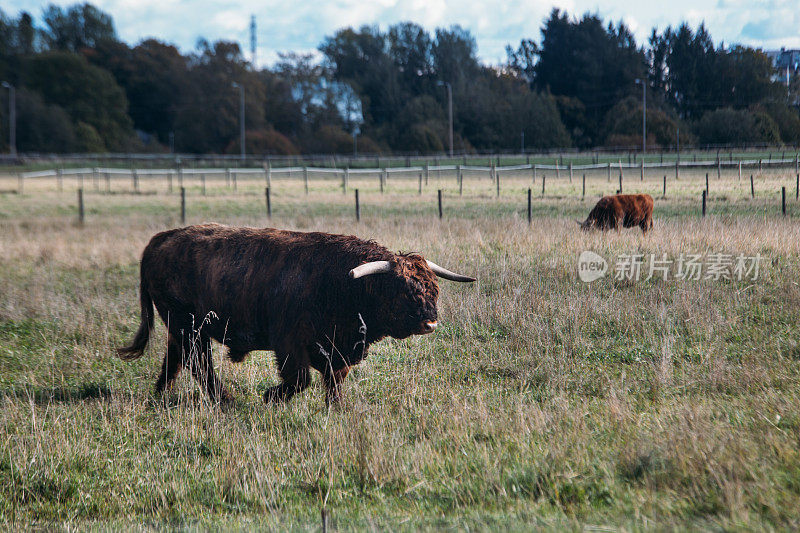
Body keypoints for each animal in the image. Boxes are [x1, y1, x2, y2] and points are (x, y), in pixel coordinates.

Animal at [115, 223, 472, 404]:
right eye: (403, 291)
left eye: (433, 290)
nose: (430, 322)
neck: (342, 283)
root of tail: (160, 239)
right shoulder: (289, 343)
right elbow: (299, 380)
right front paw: (269, 396)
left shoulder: (336, 349)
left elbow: (334, 380)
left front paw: (335, 409)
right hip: (188, 325)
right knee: (198, 362)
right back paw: (226, 399)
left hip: (183, 327)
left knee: (178, 358)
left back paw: (161, 395)